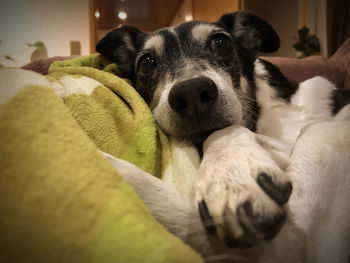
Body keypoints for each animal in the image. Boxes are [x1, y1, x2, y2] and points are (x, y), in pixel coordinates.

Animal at [95, 11, 350, 262]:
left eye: (220, 42)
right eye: (146, 63)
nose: (192, 93)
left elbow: (222, 131)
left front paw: (230, 176)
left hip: (321, 138)